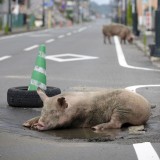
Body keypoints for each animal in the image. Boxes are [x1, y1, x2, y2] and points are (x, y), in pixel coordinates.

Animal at [23, 88, 151, 131]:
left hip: (122, 110)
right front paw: (26, 124)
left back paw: (96, 128)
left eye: (54, 112)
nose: (40, 124)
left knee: (117, 124)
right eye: (42, 110)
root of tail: (147, 107)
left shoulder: (75, 120)